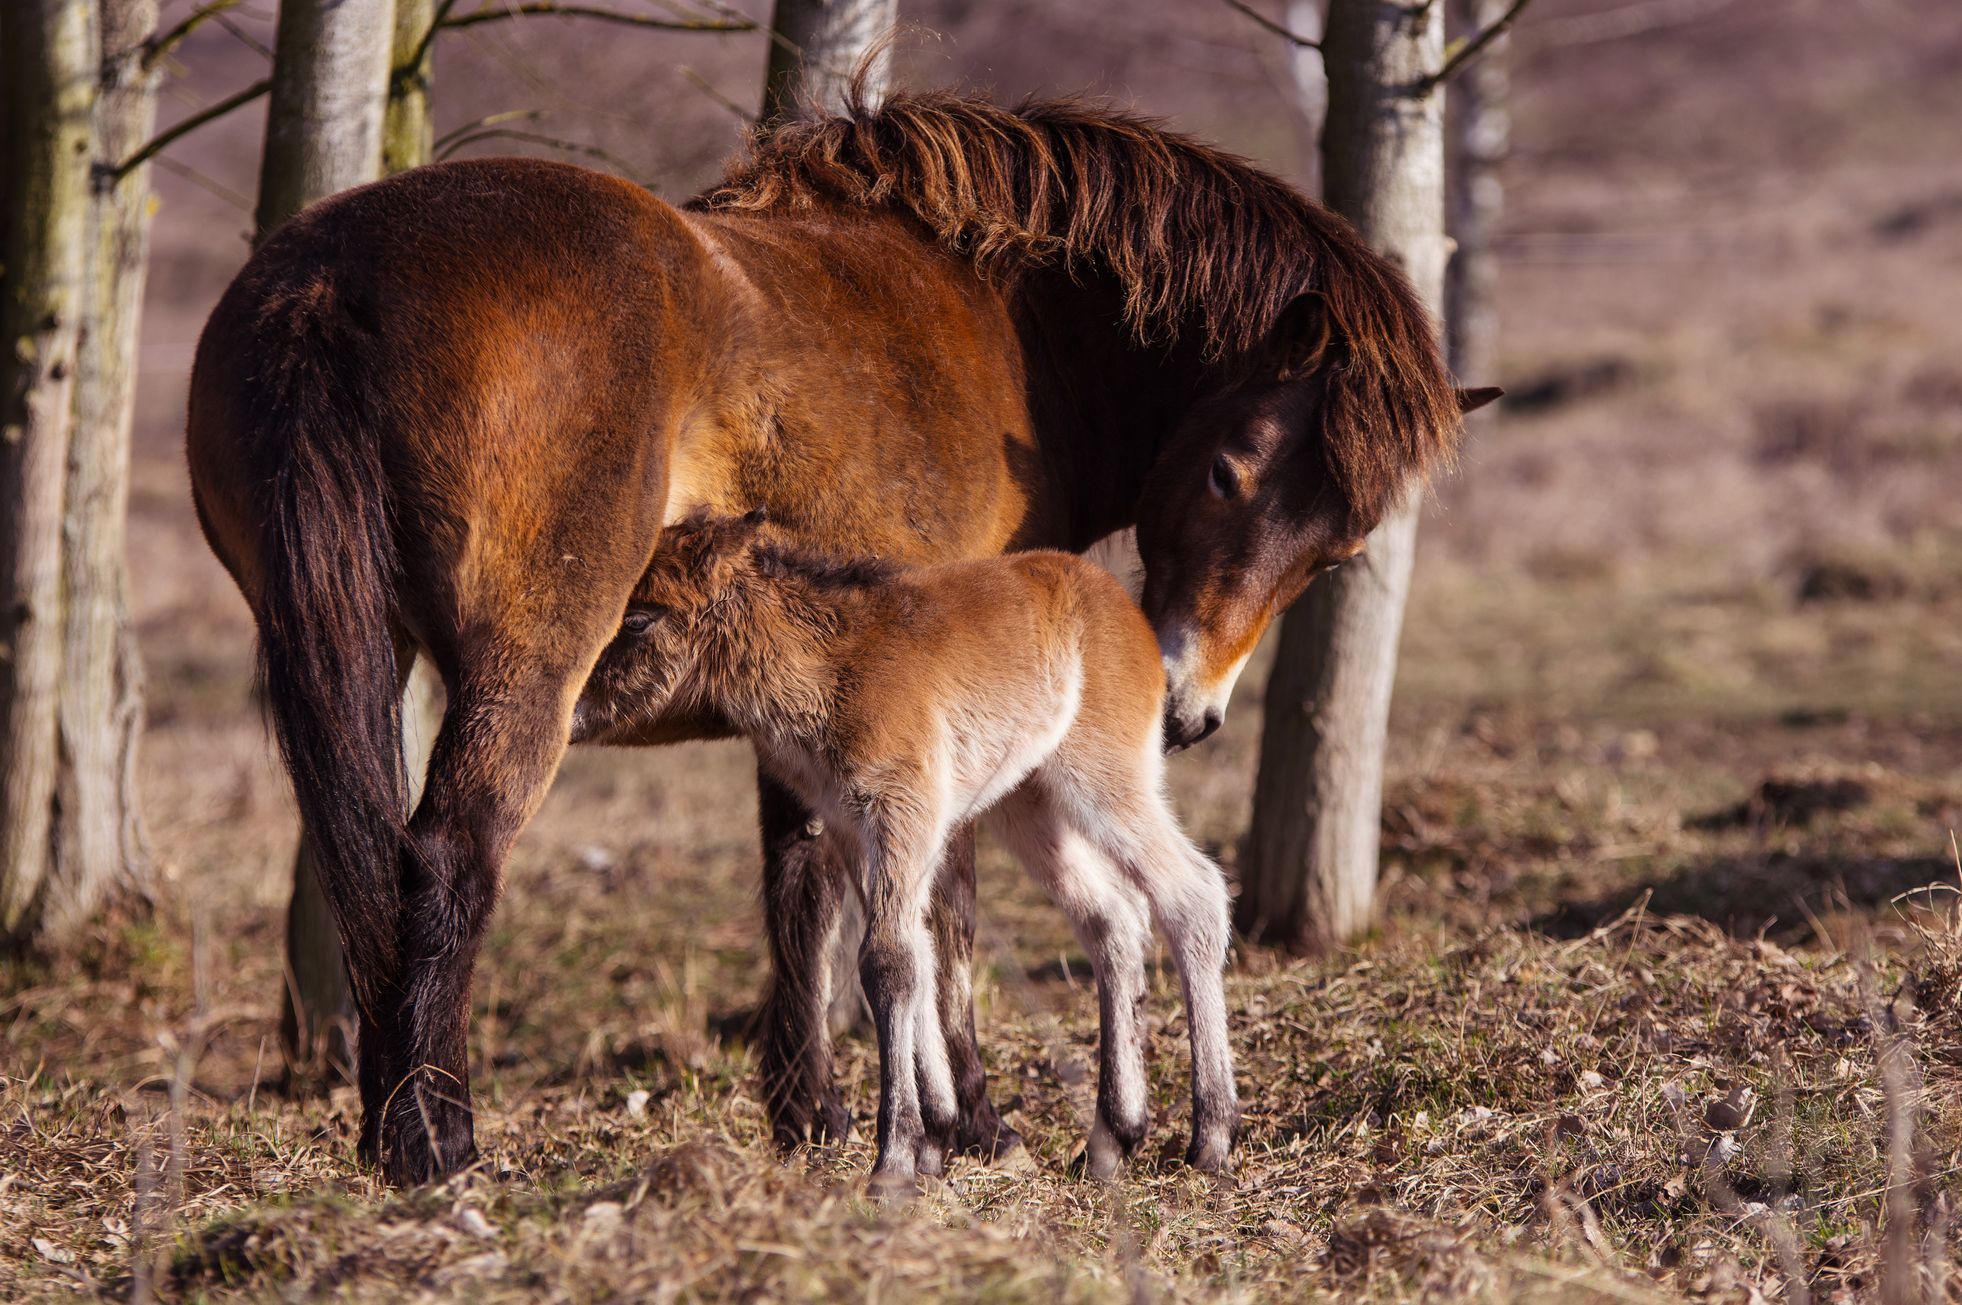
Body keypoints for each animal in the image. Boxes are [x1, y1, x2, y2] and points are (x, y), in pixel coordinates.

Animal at [572, 514, 1232, 1185]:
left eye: (639, 618)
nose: (571, 711)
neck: (829, 671)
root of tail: (1120, 602)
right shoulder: (852, 829)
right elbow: (914, 951)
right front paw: (934, 1140)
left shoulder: (900, 814)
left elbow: (887, 959)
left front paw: (893, 1160)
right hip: (1030, 805)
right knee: (1112, 921)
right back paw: (1111, 1140)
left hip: (1105, 780)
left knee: (1192, 896)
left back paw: (1208, 1139)